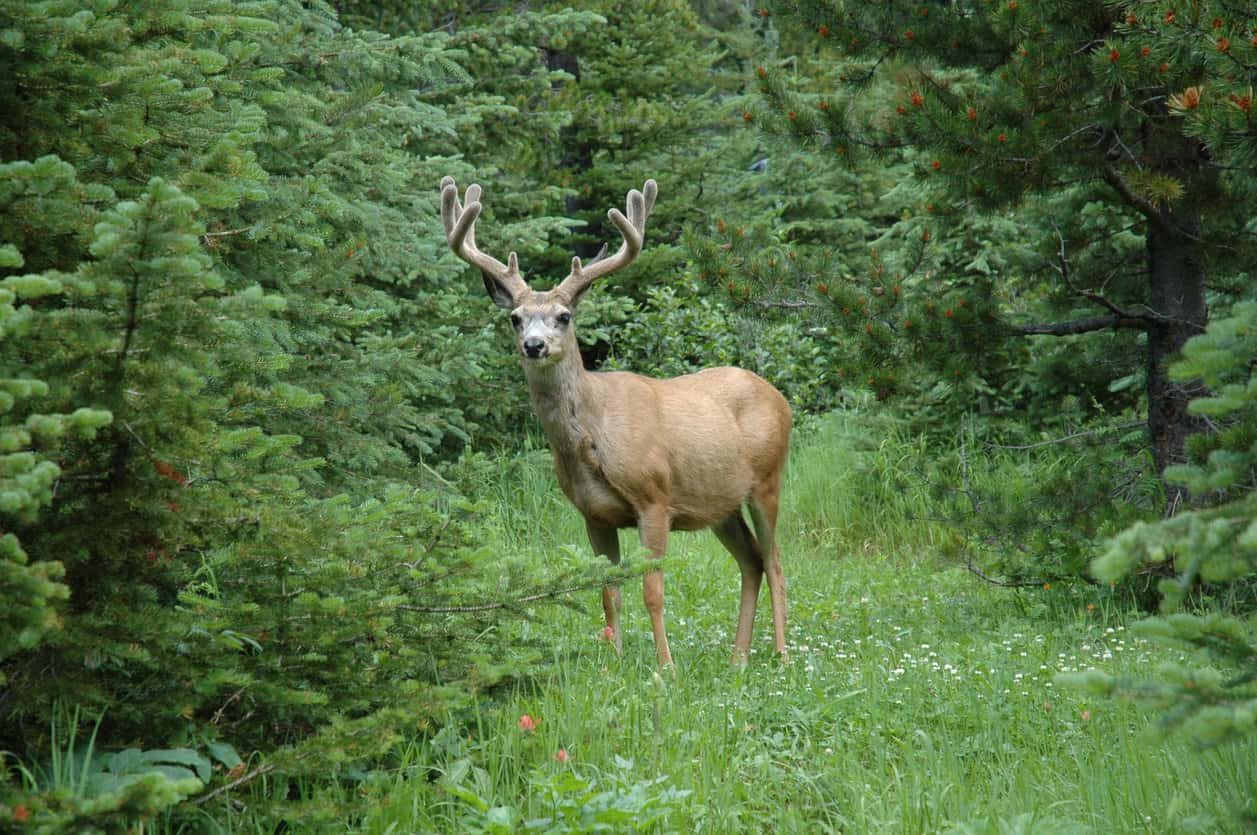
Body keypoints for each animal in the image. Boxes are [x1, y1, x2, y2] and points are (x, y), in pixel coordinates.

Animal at [442, 174, 789, 663]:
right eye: (515, 317)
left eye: (564, 316)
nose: (534, 345)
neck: (592, 434)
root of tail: (779, 397)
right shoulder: (593, 514)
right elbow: (608, 591)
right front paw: (616, 663)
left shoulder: (655, 497)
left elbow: (652, 590)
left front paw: (665, 667)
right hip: (720, 502)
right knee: (752, 561)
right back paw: (739, 658)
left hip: (768, 479)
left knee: (775, 562)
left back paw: (782, 654)